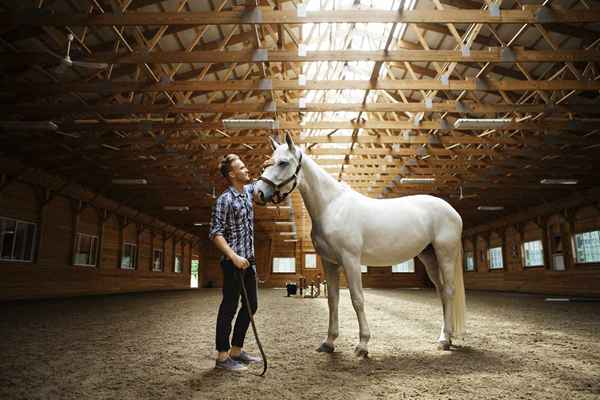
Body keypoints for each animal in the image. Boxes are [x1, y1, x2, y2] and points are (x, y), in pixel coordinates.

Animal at [253, 134, 464, 356]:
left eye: (283, 163)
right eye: (268, 162)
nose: (258, 193)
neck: (331, 206)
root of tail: (452, 211)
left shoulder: (351, 260)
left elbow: (357, 299)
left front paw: (362, 345)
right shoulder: (330, 262)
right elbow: (333, 300)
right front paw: (329, 342)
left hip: (445, 255)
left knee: (449, 291)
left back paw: (444, 340)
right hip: (429, 257)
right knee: (442, 292)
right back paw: (445, 337)